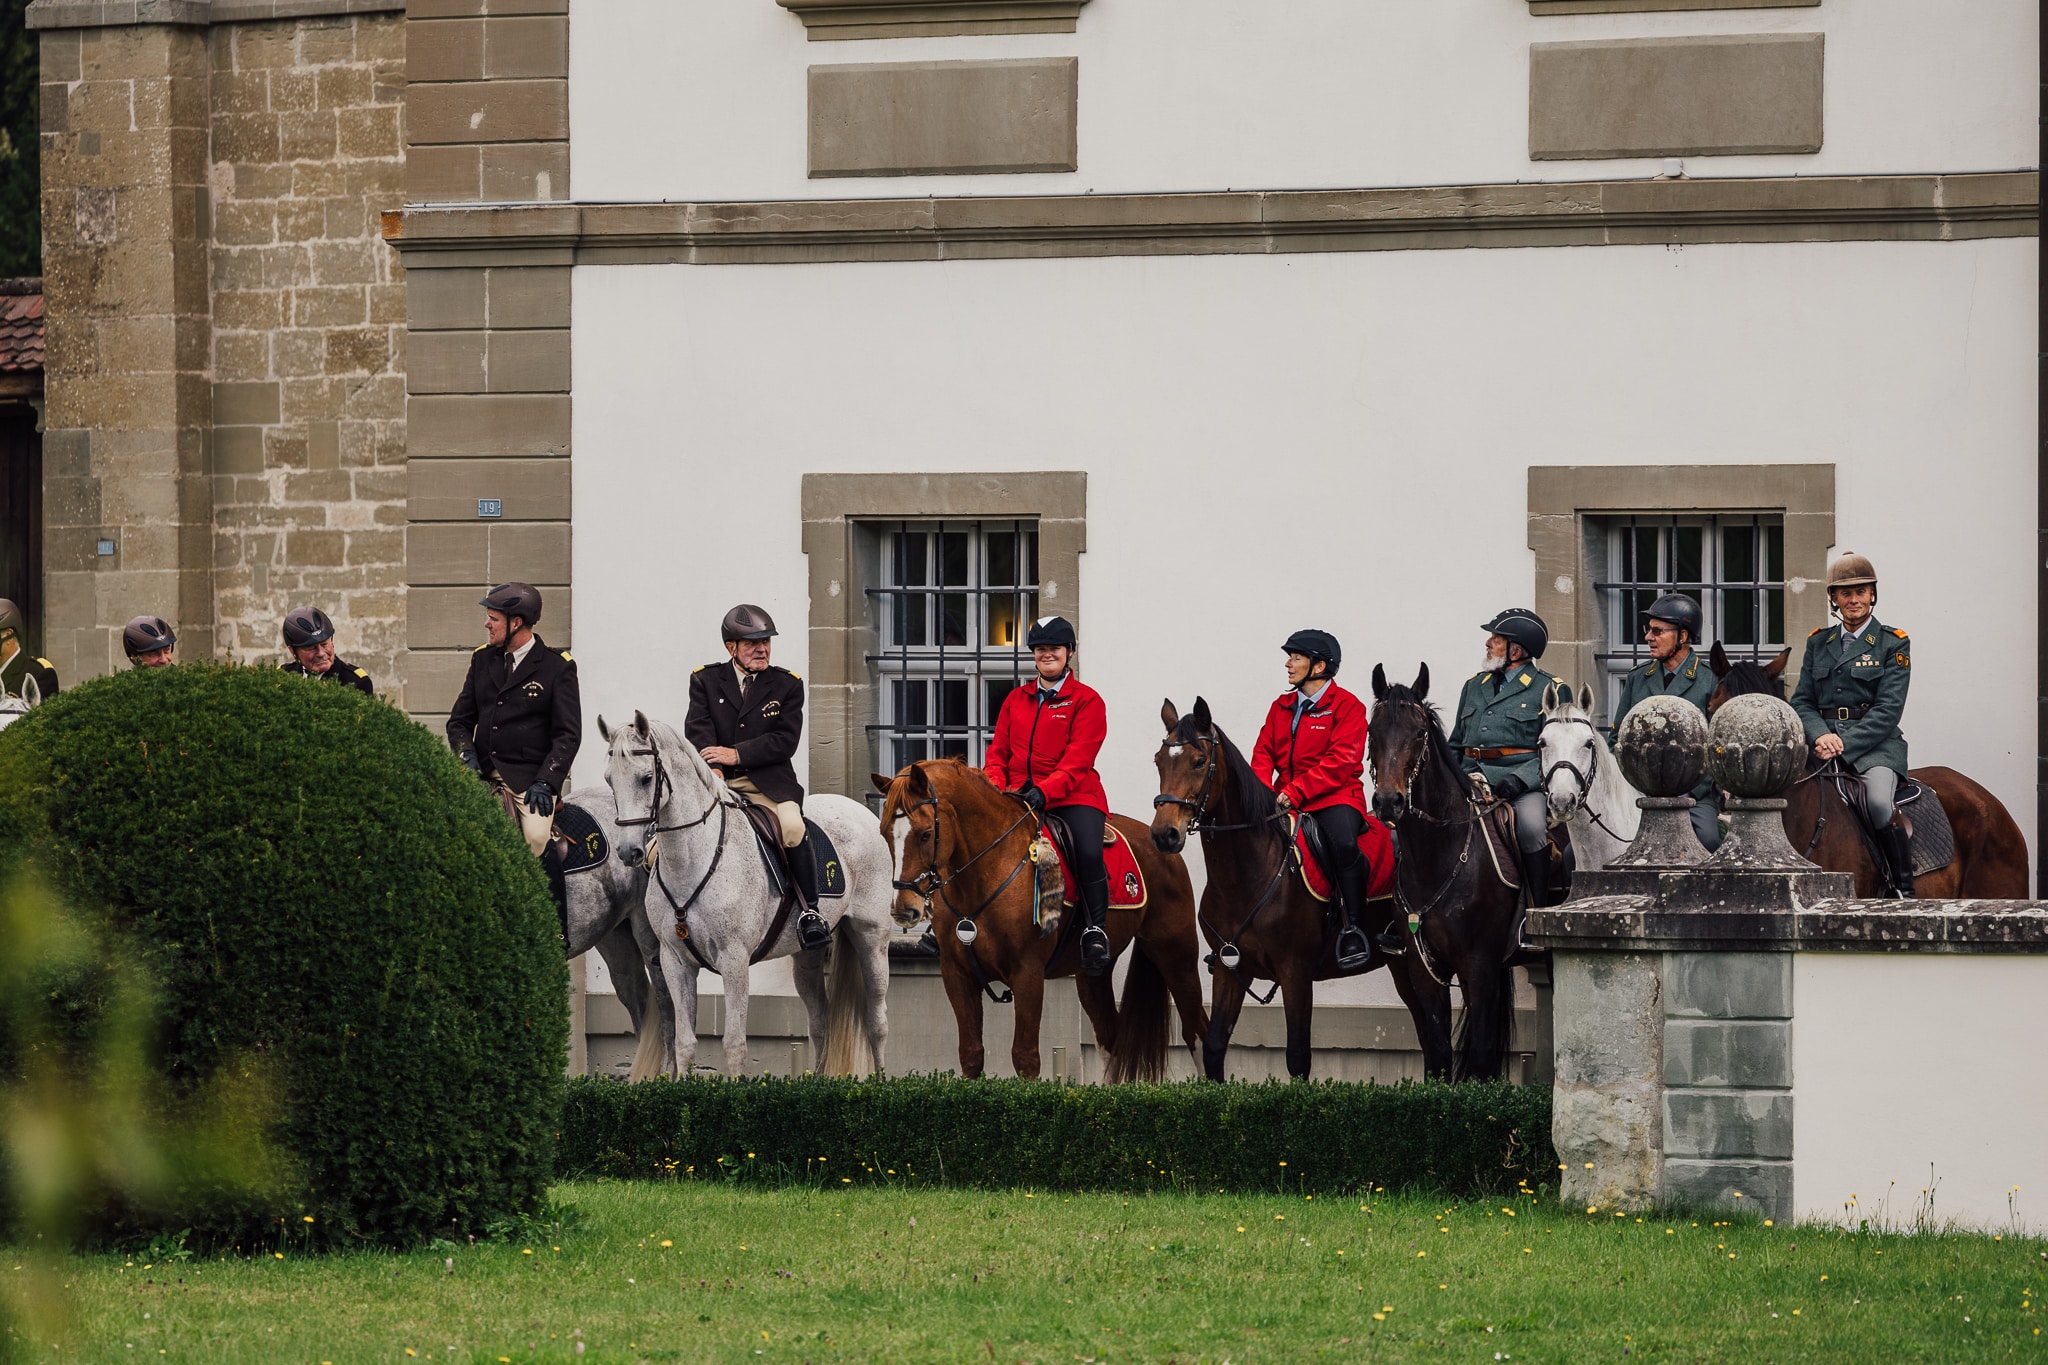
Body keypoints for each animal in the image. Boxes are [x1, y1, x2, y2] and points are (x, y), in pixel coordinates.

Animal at [601, 711, 895, 1077]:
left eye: (646, 778)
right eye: (610, 780)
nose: (628, 852)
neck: (693, 859)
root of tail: (859, 810)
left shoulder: (734, 959)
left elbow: (735, 1044)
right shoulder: (674, 961)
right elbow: (685, 1044)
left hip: (872, 938)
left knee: (877, 1022)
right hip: (806, 954)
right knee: (819, 1023)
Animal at [874, 758, 1209, 1081]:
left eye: (926, 833)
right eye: (884, 833)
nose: (904, 908)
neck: (986, 872)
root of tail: (1159, 838)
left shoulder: (1028, 973)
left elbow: (1025, 1057)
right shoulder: (957, 975)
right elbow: (970, 1054)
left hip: (1176, 954)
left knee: (1198, 1032)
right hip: (1093, 974)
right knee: (1109, 1041)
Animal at [1151, 697, 1427, 1081]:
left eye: (1199, 761)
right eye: (1159, 761)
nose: (1164, 834)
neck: (1247, 876)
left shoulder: (1295, 973)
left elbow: (1297, 1057)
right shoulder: (1230, 969)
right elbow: (1215, 1047)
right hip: (1401, 966)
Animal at [1365, 664, 1527, 1082]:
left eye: (1419, 733)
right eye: (1373, 732)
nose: (1388, 802)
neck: (1436, 857)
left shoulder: (1481, 965)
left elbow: (1483, 1056)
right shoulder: (1425, 970)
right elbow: (1438, 1055)